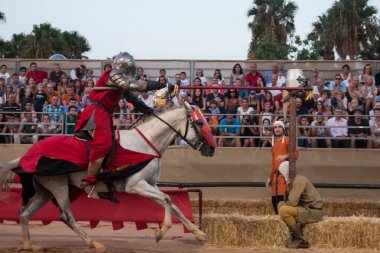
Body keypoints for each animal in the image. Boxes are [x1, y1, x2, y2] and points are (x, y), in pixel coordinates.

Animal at [0, 102, 215, 252]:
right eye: (198, 122)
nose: (211, 149)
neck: (144, 144)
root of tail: (26, 156)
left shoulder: (150, 185)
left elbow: (172, 203)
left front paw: (199, 233)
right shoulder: (136, 185)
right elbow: (167, 200)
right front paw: (160, 232)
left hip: (44, 191)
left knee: (25, 213)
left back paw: (28, 245)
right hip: (58, 186)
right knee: (65, 216)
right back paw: (94, 243)